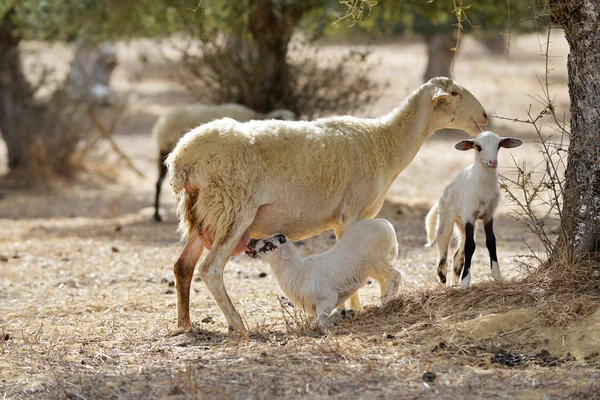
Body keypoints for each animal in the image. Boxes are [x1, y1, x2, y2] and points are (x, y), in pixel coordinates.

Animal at [244, 219, 404, 324]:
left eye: (269, 244)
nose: (250, 242)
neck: (299, 272)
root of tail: (387, 225)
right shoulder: (310, 307)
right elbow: (311, 320)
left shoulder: (327, 299)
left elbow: (319, 321)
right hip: (370, 267)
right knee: (384, 280)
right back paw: (383, 301)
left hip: (378, 258)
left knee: (395, 274)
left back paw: (388, 299)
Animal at [424, 131, 524, 290]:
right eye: (478, 147)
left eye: (498, 145)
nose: (492, 162)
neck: (484, 186)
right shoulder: (470, 215)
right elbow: (471, 246)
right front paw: (465, 282)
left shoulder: (489, 214)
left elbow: (491, 241)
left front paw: (497, 276)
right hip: (447, 220)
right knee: (442, 257)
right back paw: (444, 285)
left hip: (462, 223)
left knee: (457, 257)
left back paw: (453, 284)